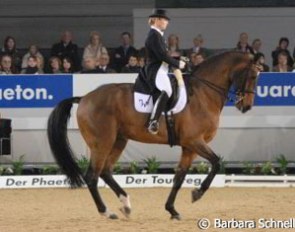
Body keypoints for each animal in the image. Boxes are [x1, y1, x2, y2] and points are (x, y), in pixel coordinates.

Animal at [46, 50, 262, 219]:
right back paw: (107, 212)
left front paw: (172, 210)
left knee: (106, 172)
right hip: (102, 143)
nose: (246, 106)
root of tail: (84, 98)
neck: (203, 94)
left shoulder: (189, 147)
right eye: (253, 76)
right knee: (92, 176)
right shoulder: (195, 141)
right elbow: (217, 163)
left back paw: (126, 205)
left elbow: (179, 176)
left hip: (119, 140)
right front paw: (197, 193)